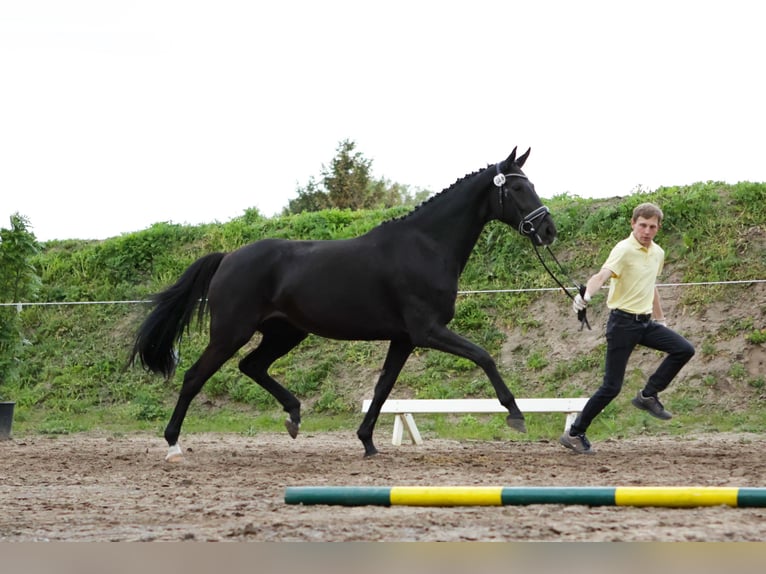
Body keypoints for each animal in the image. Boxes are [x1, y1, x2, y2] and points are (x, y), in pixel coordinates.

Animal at [129, 150, 556, 464]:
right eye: (518, 188)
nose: (548, 230)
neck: (426, 245)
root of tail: (228, 257)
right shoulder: (427, 331)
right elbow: (484, 356)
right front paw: (516, 415)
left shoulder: (404, 339)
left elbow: (383, 387)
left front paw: (367, 442)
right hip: (231, 332)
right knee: (194, 377)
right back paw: (173, 445)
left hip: (285, 333)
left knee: (252, 366)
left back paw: (294, 416)